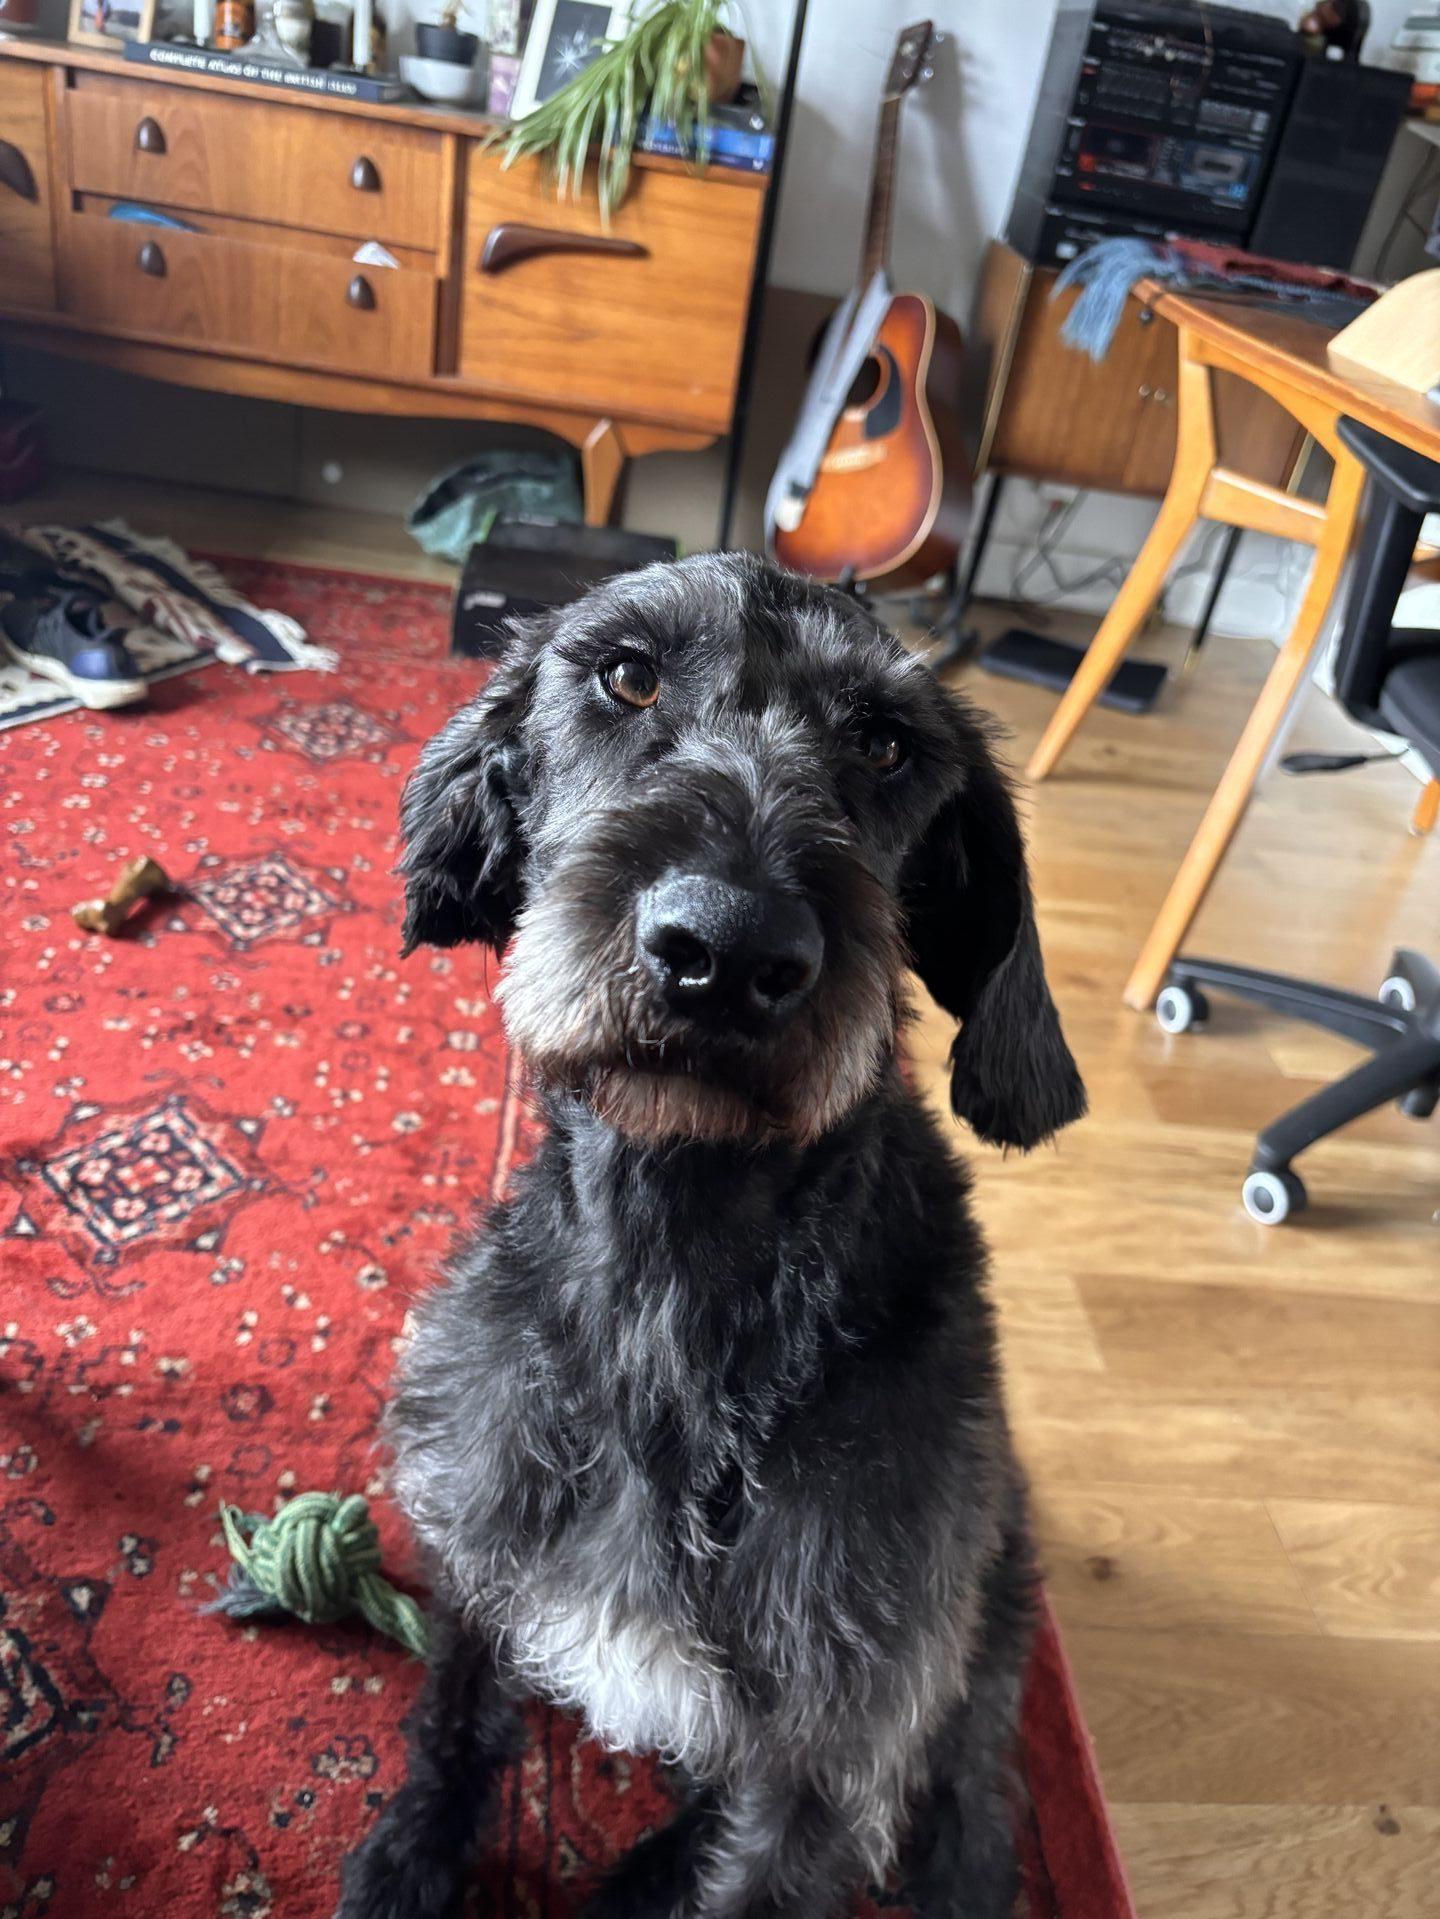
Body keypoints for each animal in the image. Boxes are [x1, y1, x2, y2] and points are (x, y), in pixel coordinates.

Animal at [336, 552, 1082, 1919]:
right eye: (627, 674)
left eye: (885, 744)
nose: (726, 949)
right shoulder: (486, 1533)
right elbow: (458, 1717)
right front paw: (408, 1861)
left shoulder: (829, 1748)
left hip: (989, 1598)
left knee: (974, 1779)